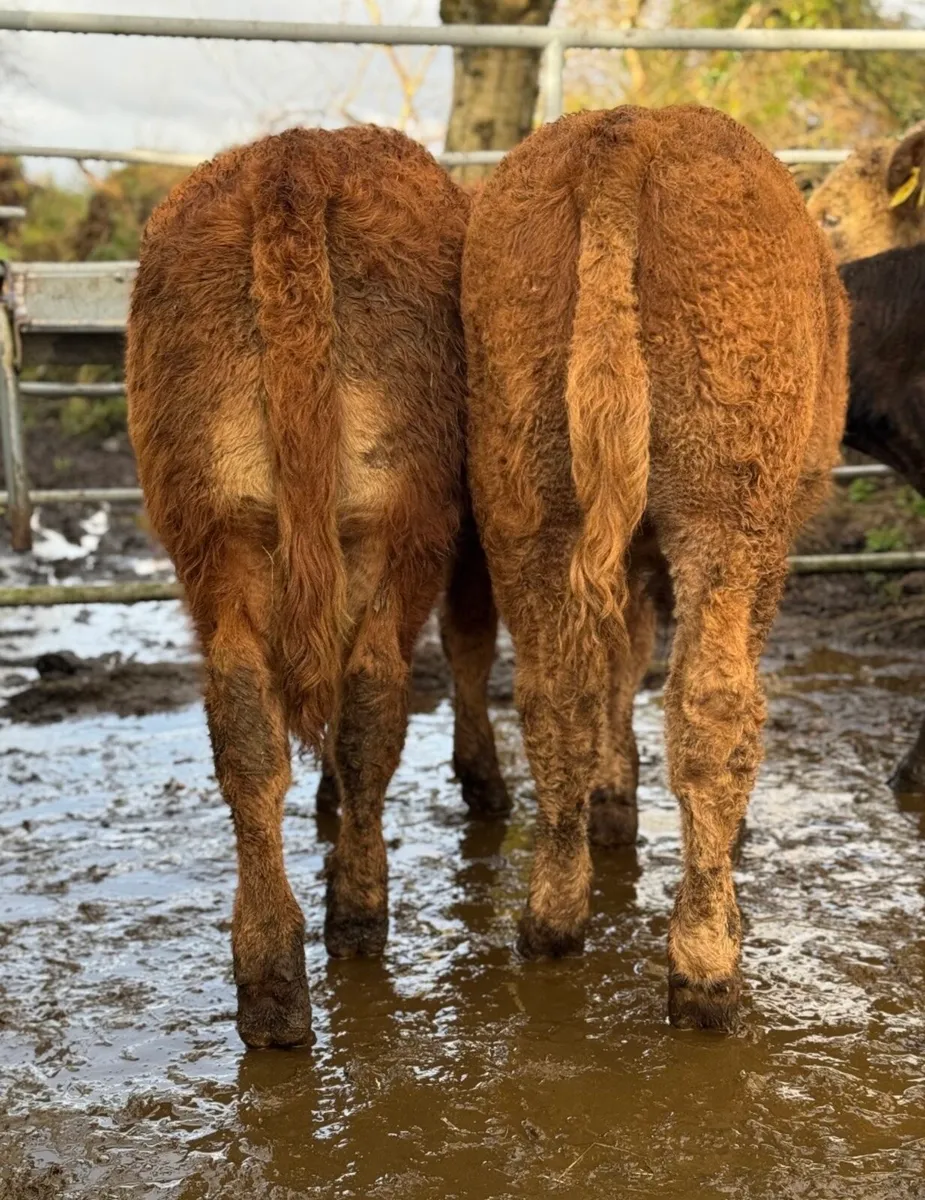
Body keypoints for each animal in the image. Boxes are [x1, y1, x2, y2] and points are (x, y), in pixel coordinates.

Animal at [126, 125, 506, 1049]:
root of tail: (293, 161)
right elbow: (468, 645)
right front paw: (481, 781)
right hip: (391, 533)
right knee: (372, 701)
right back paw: (356, 916)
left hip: (216, 541)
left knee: (247, 734)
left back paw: (270, 982)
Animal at [461, 104, 849, 1032]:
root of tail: (625, 133)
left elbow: (615, 664)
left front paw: (613, 796)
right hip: (727, 515)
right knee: (714, 706)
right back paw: (706, 961)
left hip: (524, 500)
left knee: (554, 693)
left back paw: (553, 915)